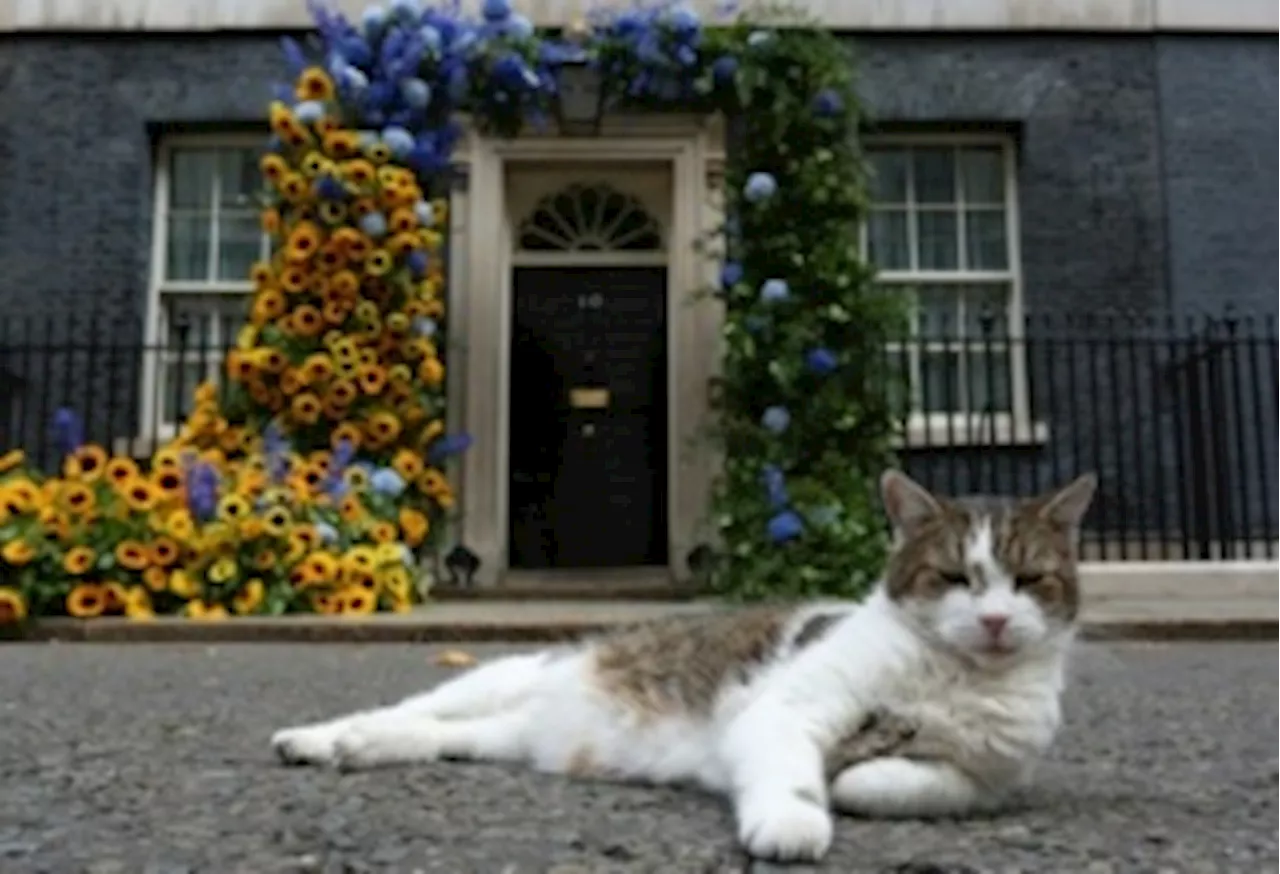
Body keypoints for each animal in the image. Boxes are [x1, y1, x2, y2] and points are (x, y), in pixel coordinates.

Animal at [270, 468, 1090, 865]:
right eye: (954, 577)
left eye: (1028, 581)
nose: (994, 620)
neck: (953, 678)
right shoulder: (786, 708)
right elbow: (793, 772)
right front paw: (794, 819)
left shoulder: (984, 780)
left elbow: (899, 783)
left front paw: (859, 774)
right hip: (498, 675)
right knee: (407, 710)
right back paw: (320, 737)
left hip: (503, 734)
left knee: (436, 736)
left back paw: (361, 749)